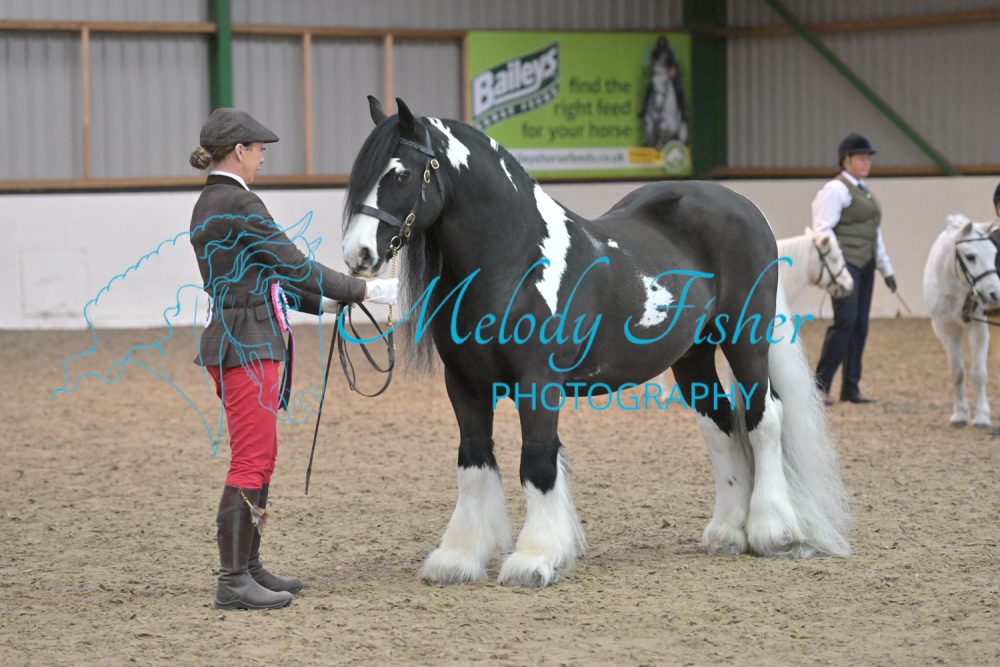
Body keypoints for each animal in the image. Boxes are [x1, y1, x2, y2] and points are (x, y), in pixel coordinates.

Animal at [340, 96, 851, 587]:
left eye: (401, 173)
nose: (356, 254)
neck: (515, 258)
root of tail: (745, 208)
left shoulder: (538, 383)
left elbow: (538, 461)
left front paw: (536, 559)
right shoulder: (464, 383)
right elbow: (474, 461)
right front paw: (459, 558)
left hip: (747, 337)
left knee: (765, 418)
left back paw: (772, 532)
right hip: (692, 356)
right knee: (722, 425)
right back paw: (728, 532)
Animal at [922, 214, 1000, 428]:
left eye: (994, 254)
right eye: (971, 257)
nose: (994, 294)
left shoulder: (979, 329)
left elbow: (979, 372)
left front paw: (982, 417)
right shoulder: (946, 329)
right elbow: (957, 372)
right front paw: (960, 415)